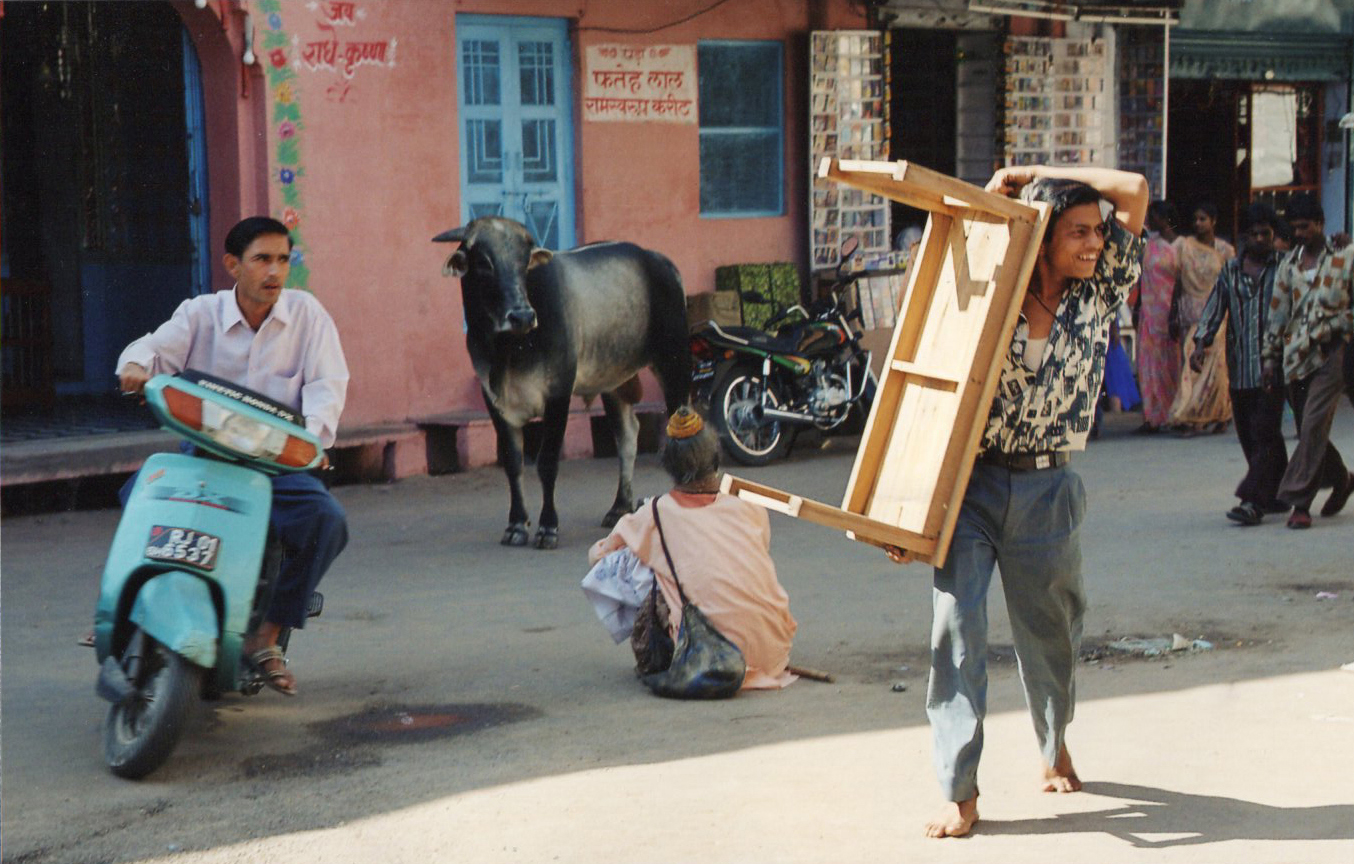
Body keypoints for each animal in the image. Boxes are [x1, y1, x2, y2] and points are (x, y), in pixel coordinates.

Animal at [430, 219, 687, 552]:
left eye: (524, 262)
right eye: (484, 264)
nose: (522, 316)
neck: (509, 350)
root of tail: (659, 260)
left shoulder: (558, 394)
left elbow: (547, 462)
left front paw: (547, 527)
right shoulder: (493, 400)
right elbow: (513, 462)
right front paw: (516, 524)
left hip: (674, 363)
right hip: (613, 382)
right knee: (628, 437)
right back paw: (619, 507)